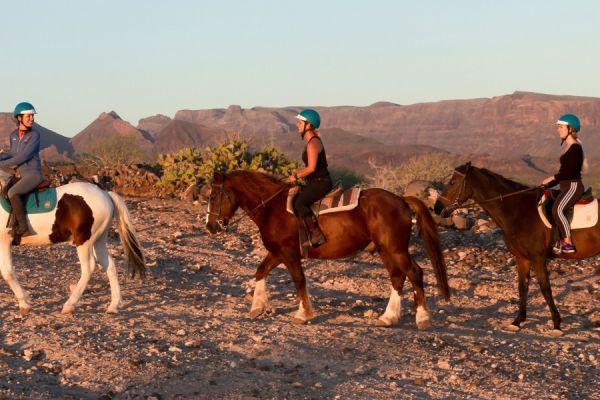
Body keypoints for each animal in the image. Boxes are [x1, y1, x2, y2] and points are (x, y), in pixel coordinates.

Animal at [0, 181, 145, 316]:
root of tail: (105, 194)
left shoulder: (4, 242)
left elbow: (7, 272)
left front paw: (24, 303)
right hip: (99, 240)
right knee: (109, 265)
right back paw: (113, 306)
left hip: (84, 242)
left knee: (88, 268)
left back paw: (70, 305)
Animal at [206, 170, 450, 330]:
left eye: (213, 196)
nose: (210, 227)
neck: (272, 208)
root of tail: (401, 200)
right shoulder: (277, 253)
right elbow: (260, 272)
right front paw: (257, 307)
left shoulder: (289, 255)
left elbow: (299, 281)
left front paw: (303, 314)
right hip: (385, 250)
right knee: (397, 277)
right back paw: (388, 317)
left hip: (396, 249)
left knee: (415, 273)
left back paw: (422, 318)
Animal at [436, 162, 600, 334]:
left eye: (452, 182)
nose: (437, 207)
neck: (517, 211)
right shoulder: (522, 258)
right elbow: (522, 287)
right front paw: (517, 321)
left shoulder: (537, 257)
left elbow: (545, 288)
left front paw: (556, 324)